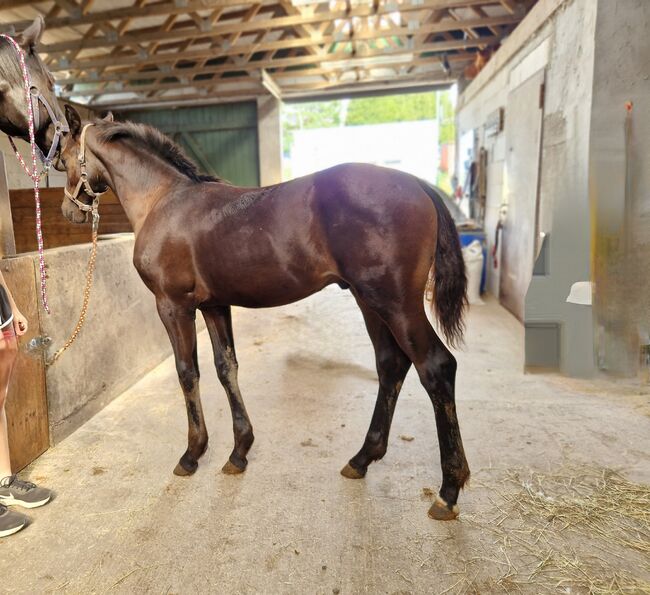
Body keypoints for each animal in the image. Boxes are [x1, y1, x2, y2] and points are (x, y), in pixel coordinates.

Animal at [58, 108, 468, 520]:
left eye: (63, 158)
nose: (67, 211)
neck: (164, 200)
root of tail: (418, 184)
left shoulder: (173, 306)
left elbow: (188, 373)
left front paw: (192, 454)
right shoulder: (214, 306)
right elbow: (226, 368)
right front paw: (239, 452)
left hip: (394, 303)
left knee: (436, 367)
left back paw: (448, 490)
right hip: (370, 302)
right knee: (391, 365)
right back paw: (362, 458)